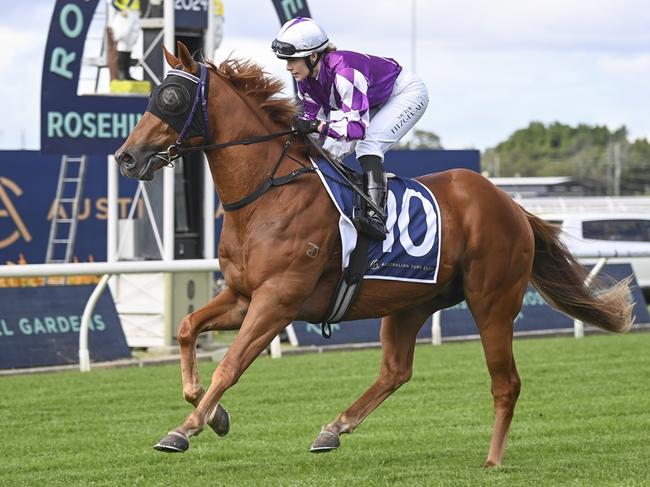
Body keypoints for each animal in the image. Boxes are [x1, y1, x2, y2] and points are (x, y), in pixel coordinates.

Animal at [114, 43, 632, 468]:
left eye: (172, 99)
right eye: (153, 96)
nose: (126, 158)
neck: (267, 192)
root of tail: (512, 205)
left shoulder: (278, 300)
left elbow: (232, 363)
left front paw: (184, 429)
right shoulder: (244, 295)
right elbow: (186, 328)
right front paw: (214, 414)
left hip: (493, 302)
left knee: (506, 382)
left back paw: (492, 460)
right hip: (410, 302)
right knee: (395, 371)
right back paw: (333, 429)